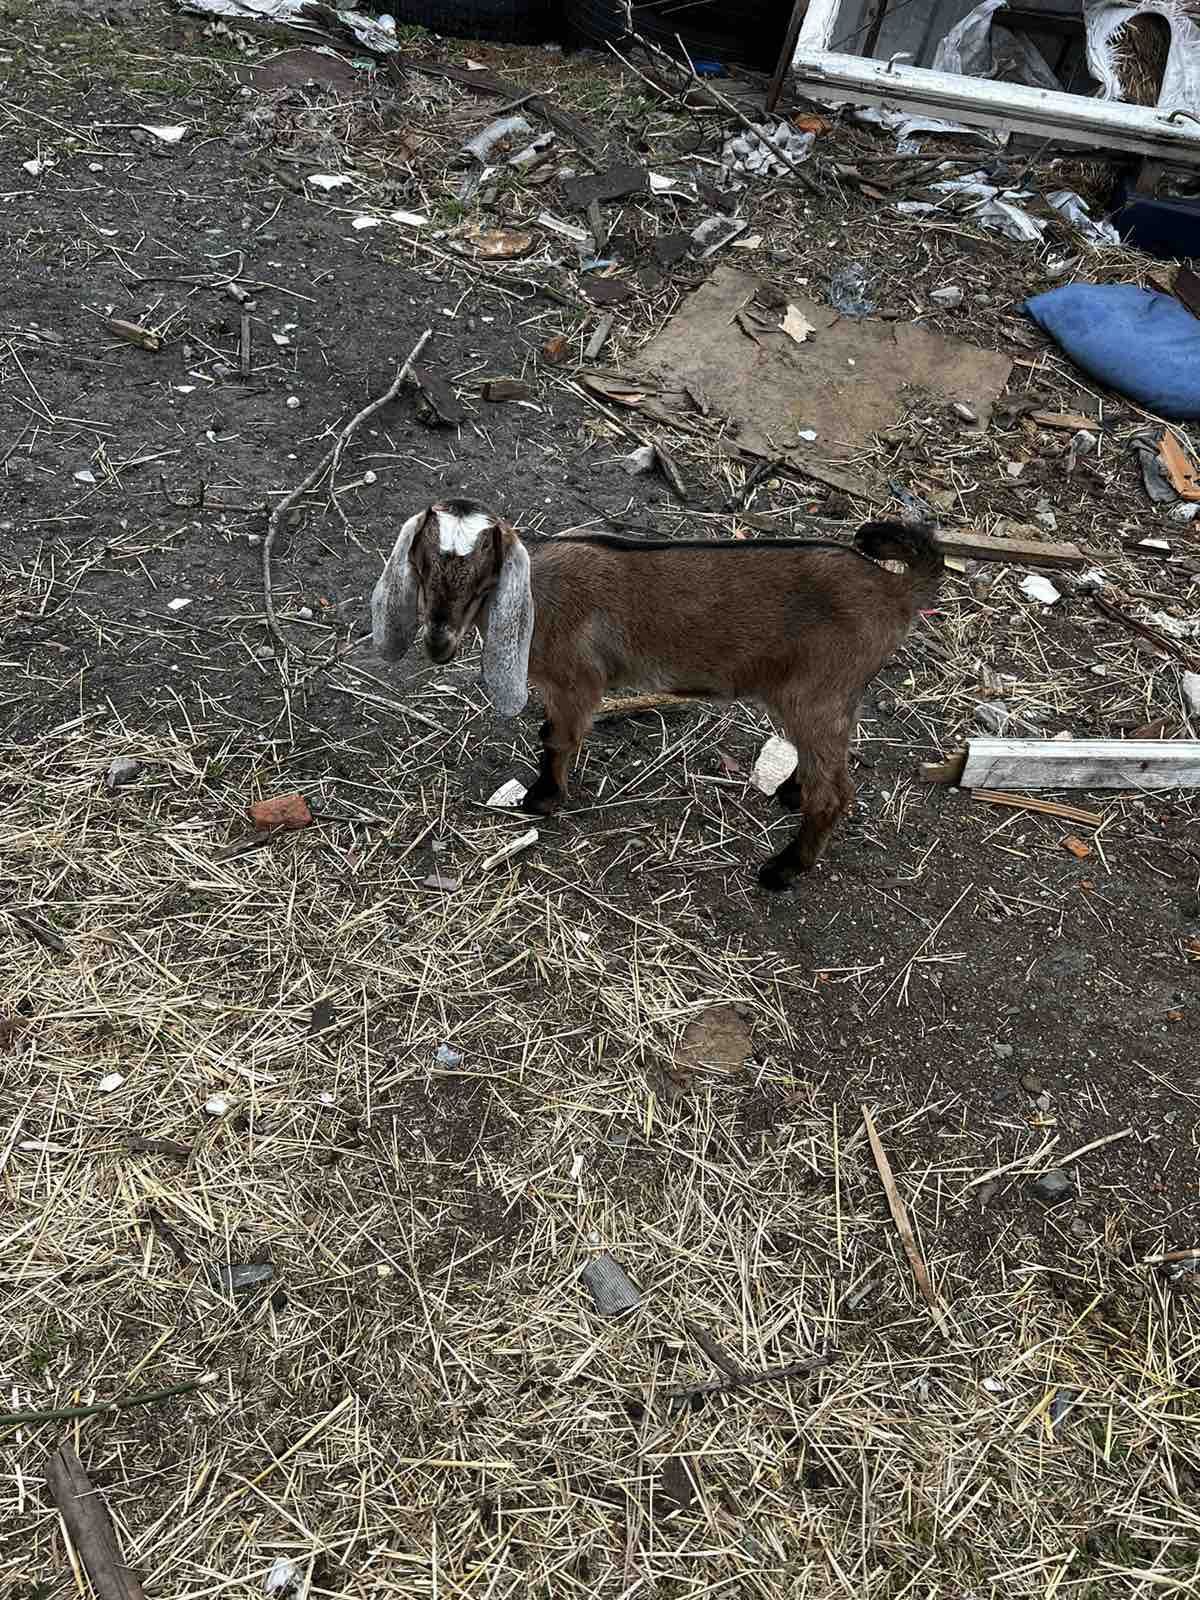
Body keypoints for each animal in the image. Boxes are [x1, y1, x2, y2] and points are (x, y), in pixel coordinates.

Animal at [371, 502, 947, 889]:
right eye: (423, 564)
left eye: (481, 572)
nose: (437, 643)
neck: (538, 593)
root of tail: (895, 592)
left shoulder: (576, 683)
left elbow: (556, 738)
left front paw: (542, 800)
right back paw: (790, 793)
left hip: (820, 695)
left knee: (835, 794)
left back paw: (782, 870)